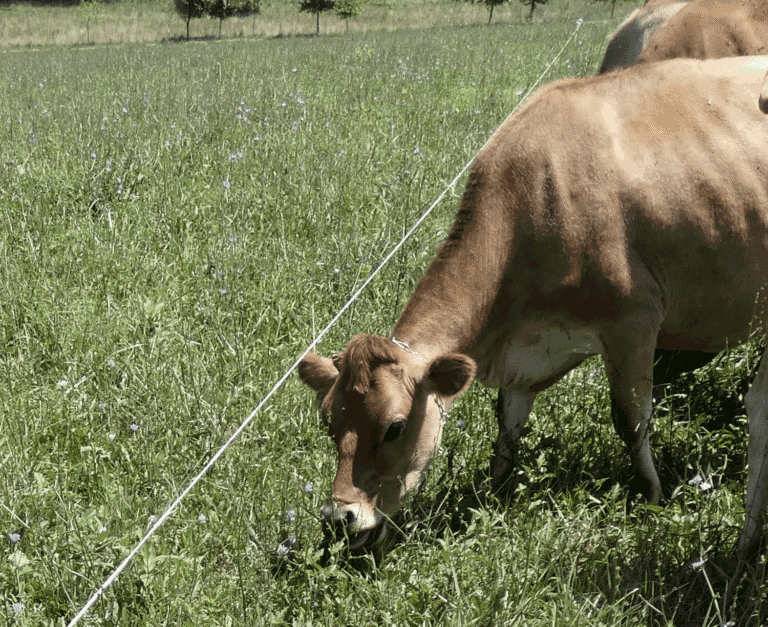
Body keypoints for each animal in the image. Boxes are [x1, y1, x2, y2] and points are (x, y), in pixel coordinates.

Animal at [299, 56, 768, 556]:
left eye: (395, 426)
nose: (340, 518)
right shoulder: (525, 357)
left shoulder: (633, 322)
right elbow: (507, 428)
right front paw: (493, 494)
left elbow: (631, 421)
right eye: (328, 423)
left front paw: (653, 497)